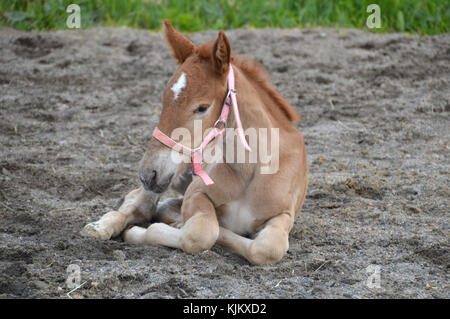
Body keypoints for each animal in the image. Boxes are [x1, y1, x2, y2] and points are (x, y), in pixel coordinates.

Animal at [81, 20, 308, 264]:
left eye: (202, 107)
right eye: (163, 100)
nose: (148, 173)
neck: (251, 170)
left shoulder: (284, 215)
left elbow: (266, 248)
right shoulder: (195, 193)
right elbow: (201, 233)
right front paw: (155, 228)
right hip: (169, 175)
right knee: (138, 202)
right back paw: (101, 227)